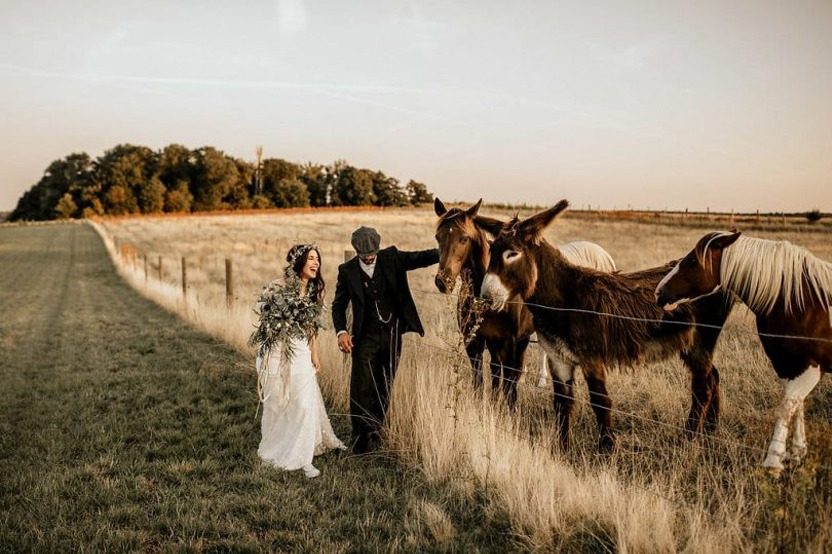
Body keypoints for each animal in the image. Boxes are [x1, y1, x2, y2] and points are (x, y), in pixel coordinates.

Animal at [432, 198, 616, 406]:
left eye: (464, 238)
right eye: (437, 237)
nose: (443, 281)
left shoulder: (512, 341)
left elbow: (509, 379)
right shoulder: (476, 341)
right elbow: (485, 375)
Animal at [478, 201, 732, 450]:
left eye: (512, 253)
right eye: (491, 251)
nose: (486, 298)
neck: (567, 299)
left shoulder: (592, 358)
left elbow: (600, 401)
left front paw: (606, 449)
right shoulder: (558, 359)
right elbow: (562, 403)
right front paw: (562, 449)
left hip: (701, 341)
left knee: (702, 388)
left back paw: (688, 439)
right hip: (688, 342)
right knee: (713, 376)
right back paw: (711, 430)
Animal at [656, 231, 832, 472]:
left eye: (692, 261)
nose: (659, 292)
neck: (804, 302)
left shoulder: (810, 369)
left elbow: (786, 408)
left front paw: (774, 462)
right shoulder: (788, 366)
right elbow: (797, 408)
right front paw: (796, 455)